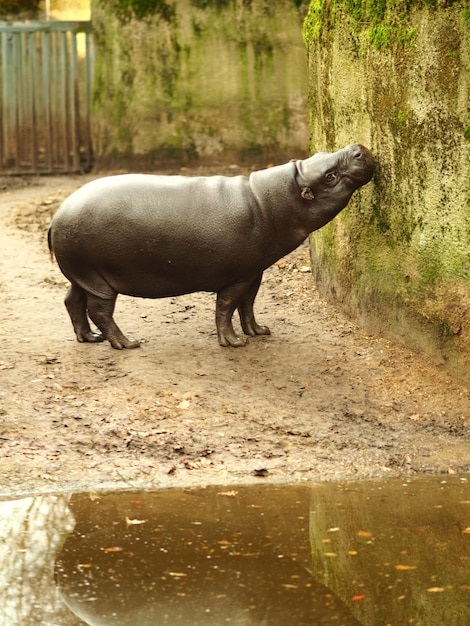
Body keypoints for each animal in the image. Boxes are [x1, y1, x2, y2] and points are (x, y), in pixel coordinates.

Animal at [47, 144, 374, 348]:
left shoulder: (255, 272)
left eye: (320, 153)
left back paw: (89, 338)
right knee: (100, 311)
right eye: (330, 176)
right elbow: (227, 306)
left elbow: (248, 303)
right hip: (98, 280)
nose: (359, 147)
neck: (272, 202)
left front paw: (259, 331)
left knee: (72, 300)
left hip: (85, 276)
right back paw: (127, 343)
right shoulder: (237, 276)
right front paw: (235, 342)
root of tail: (57, 216)